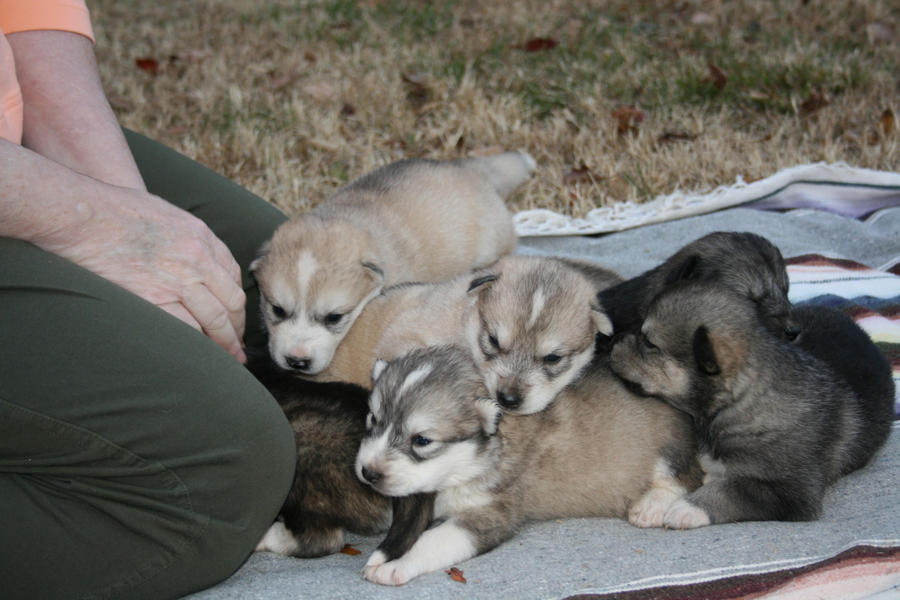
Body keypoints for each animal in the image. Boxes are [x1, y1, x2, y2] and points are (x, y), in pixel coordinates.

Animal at [356, 344, 700, 584]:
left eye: (422, 440)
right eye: (373, 419)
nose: (368, 473)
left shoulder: (491, 515)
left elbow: (433, 539)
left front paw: (397, 566)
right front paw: (382, 555)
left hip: (666, 448)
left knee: (687, 477)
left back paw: (651, 506)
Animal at [608, 284, 896, 528]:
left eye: (649, 342)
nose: (612, 342)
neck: (738, 404)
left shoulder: (791, 491)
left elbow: (732, 491)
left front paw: (685, 509)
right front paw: (655, 503)